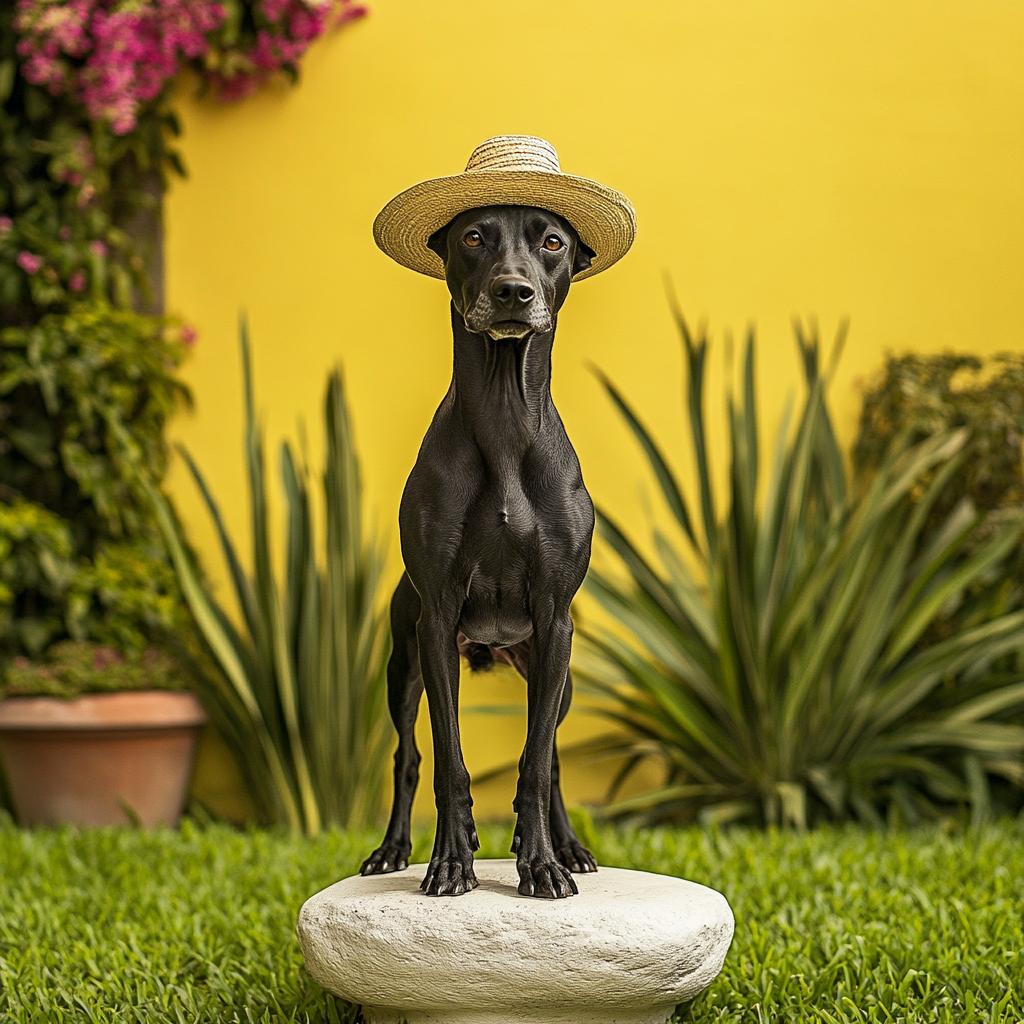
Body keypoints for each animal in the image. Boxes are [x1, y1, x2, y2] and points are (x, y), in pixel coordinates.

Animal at [362, 203, 598, 901]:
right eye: (472, 237)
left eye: (553, 241)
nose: (513, 292)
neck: (503, 419)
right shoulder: (437, 621)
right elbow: (447, 761)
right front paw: (449, 861)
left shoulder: (554, 619)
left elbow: (536, 761)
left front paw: (542, 862)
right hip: (404, 667)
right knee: (408, 756)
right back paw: (393, 850)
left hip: (555, 671)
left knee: (550, 754)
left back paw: (566, 846)